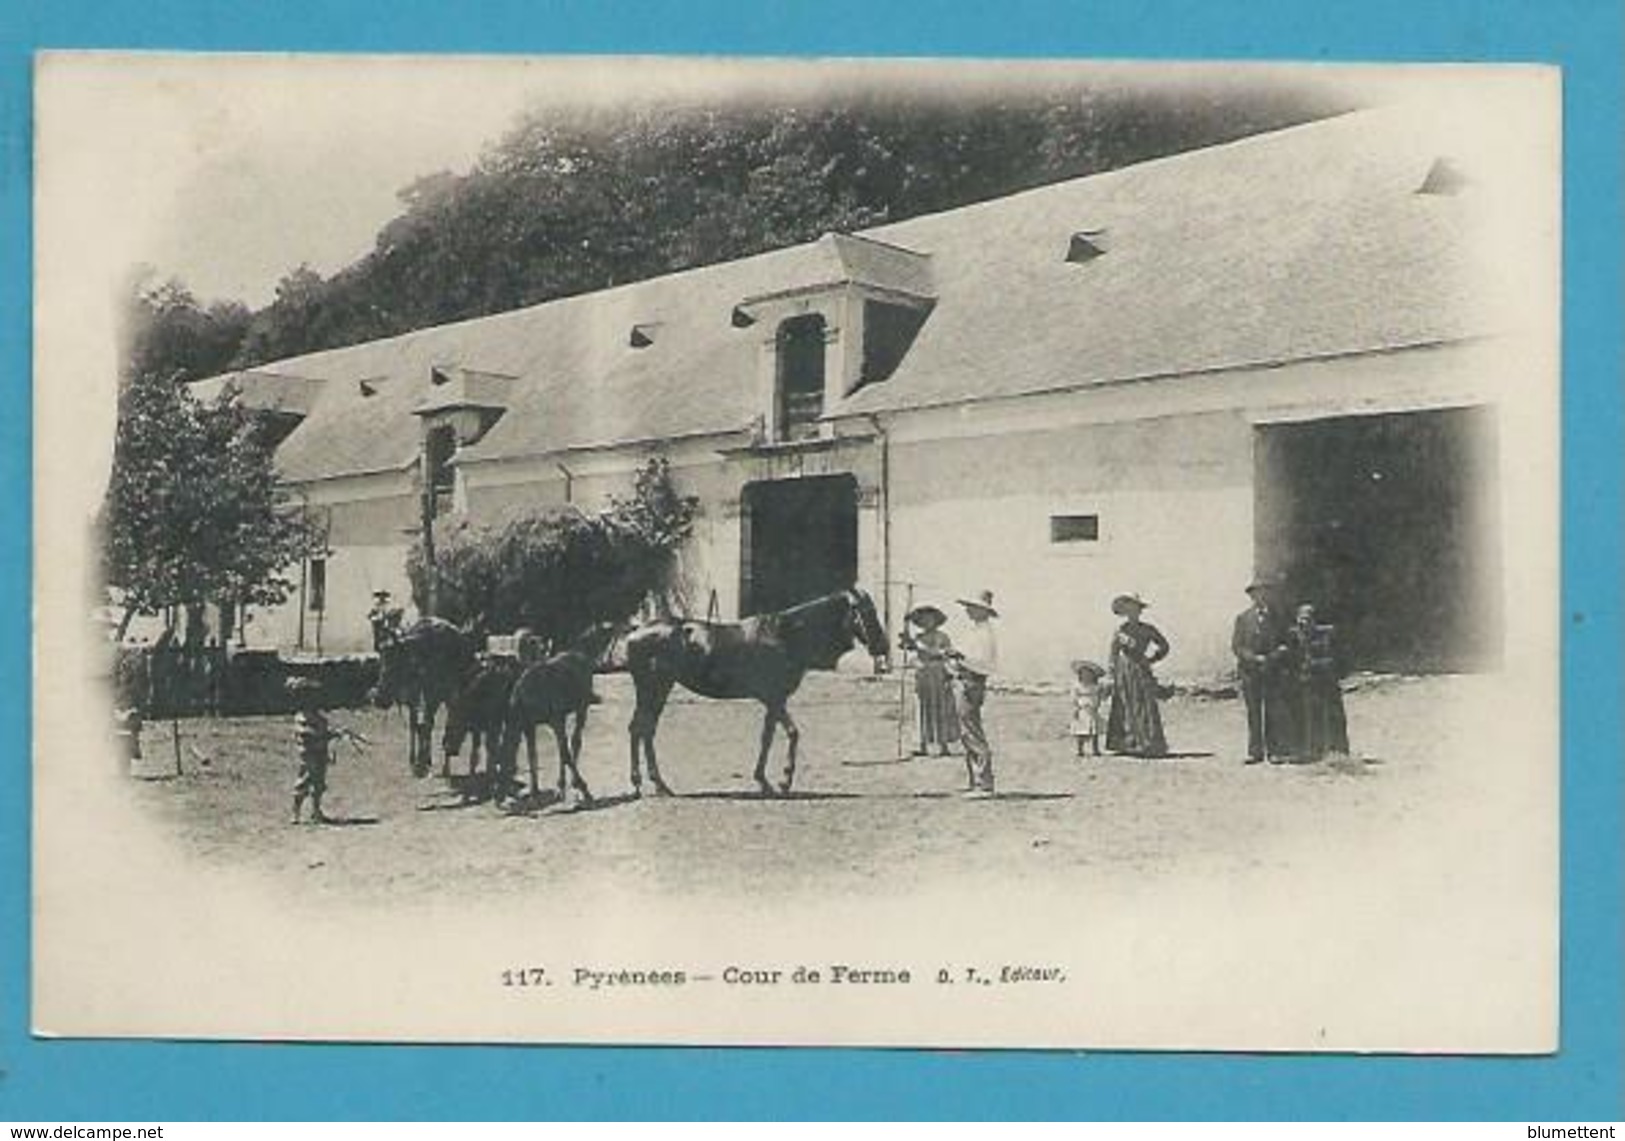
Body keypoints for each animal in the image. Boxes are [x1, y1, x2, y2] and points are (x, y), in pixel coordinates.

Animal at [373, 620, 481, 783]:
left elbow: (431, 725)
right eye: (381, 662)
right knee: (421, 725)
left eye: (395, 663)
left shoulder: (439, 697)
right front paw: (418, 761)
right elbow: (418, 726)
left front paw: (426, 763)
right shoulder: (418, 697)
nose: (379, 698)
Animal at [494, 624, 620, 812]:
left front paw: (574, 789)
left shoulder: (553, 718)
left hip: (558, 715)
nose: (497, 799)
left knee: (566, 745)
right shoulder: (539, 722)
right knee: (566, 747)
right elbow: (551, 752)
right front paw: (546, 792)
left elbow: (561, 751)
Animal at [624, 585, 890, 799]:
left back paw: (656, 785)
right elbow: (789, 733)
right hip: (653, 687)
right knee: (641, 728)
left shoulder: (774, 700)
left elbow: (769, 736)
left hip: (658, 688)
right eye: (864, 611)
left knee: (645, 729)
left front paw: (765, 781)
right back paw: (647, 784)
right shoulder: (775, 697)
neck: (786, 635)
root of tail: (635, 633)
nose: (883, 647)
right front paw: (783, 782)